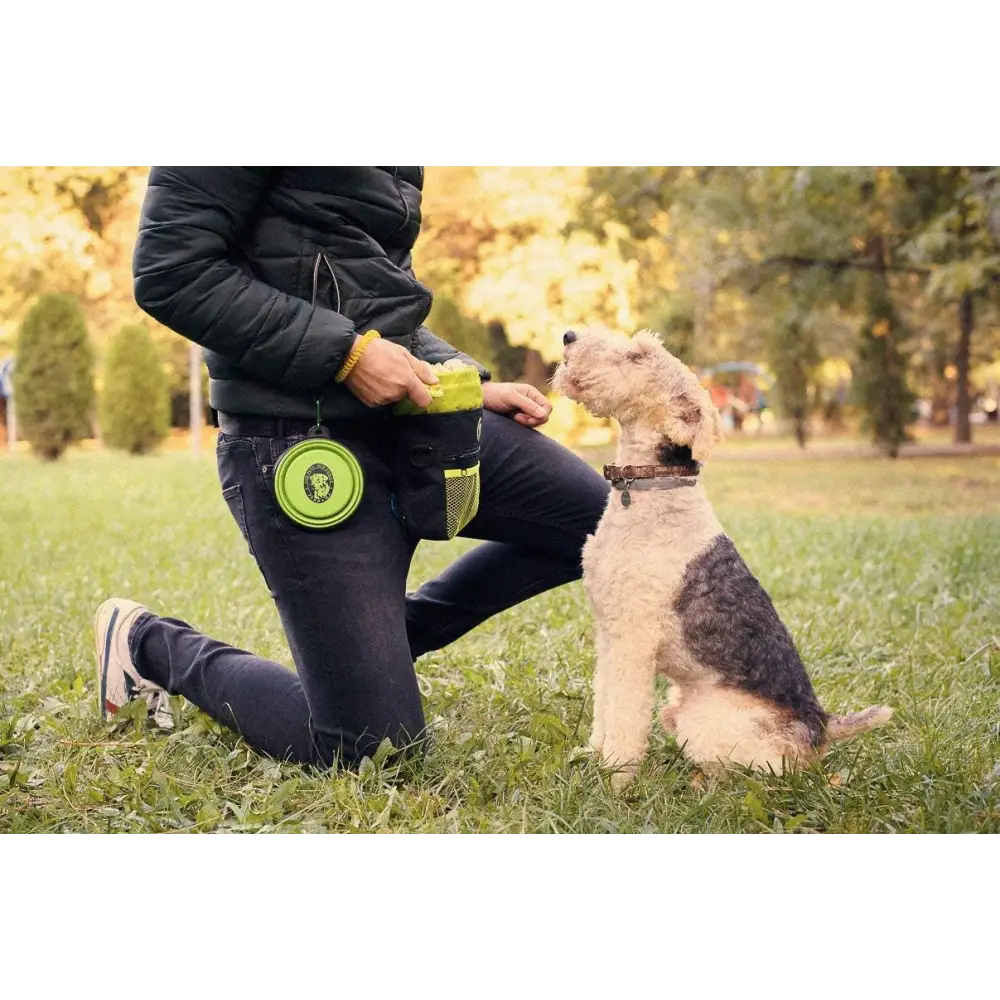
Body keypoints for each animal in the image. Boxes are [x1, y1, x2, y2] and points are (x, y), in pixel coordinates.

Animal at [556, 328, 892, 788]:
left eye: (639, 355)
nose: (568, 336)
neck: (651, 491)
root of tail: (822, 726)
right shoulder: (610, 634)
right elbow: (605, 705)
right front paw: (593, 755)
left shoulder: (632, 640)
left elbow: (624, 717)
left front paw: (615, 778)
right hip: (677, 705)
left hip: (708, 724)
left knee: (749, 775)